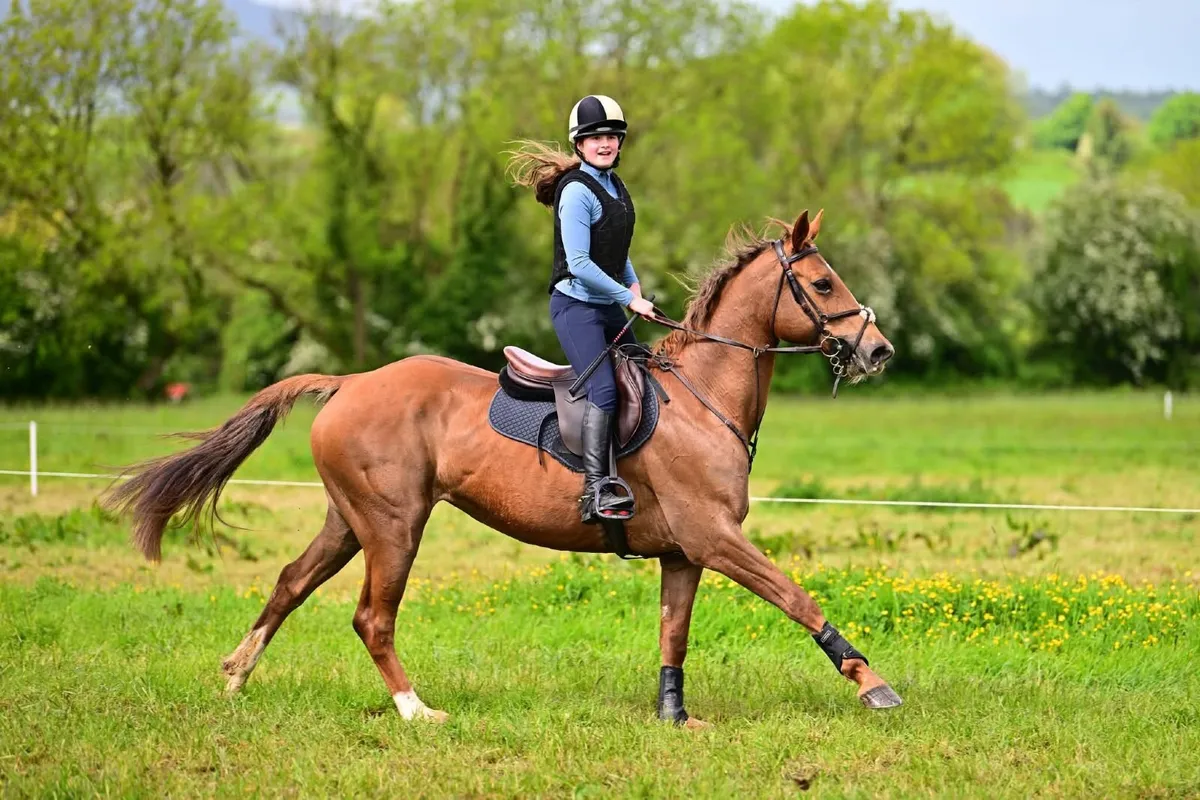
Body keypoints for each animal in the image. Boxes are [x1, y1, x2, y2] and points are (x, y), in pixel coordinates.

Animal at [105, 208, 901, 727]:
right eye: (823, 285)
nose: (879, 351)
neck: (704, 397)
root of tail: (351, 382)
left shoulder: (684, 552)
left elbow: (673, 634)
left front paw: (675, 716)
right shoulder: (714, 537)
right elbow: (798, 598)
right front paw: (871, 682)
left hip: (349, 521)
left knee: (290, 583)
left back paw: (237, 676)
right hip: (394, 526)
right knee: (372, 618)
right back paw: (416, 710)